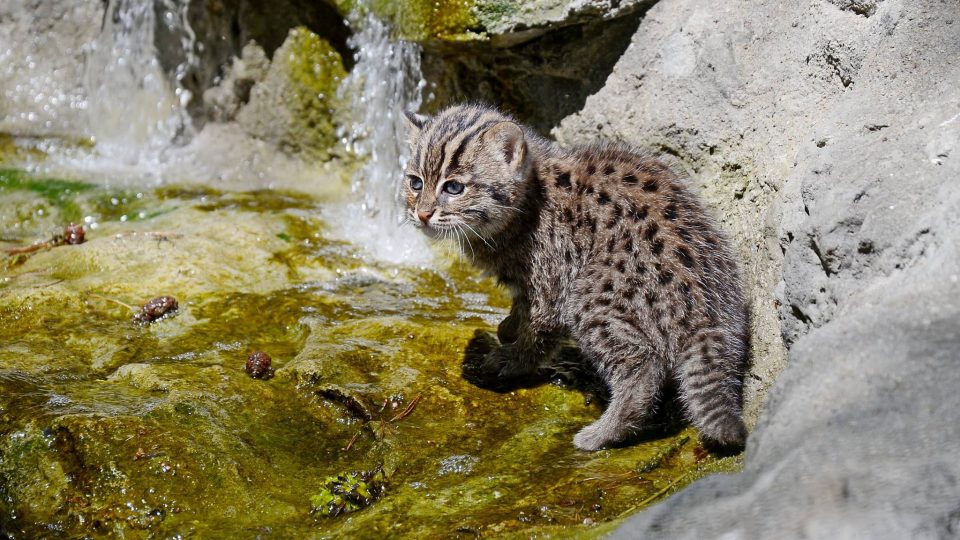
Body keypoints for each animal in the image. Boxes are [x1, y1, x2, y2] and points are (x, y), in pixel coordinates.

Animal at [402, 103, 748, 450]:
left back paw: (602, 433)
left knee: (642, 369)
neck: (529, 199)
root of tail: (706, 318)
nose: (422, 214)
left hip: (592, 295)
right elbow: (521, 305)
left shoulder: (553, 281)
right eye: (416, 183)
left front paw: (513, 359)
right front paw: (508, 327)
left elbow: (538, 332)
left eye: (454, 187)